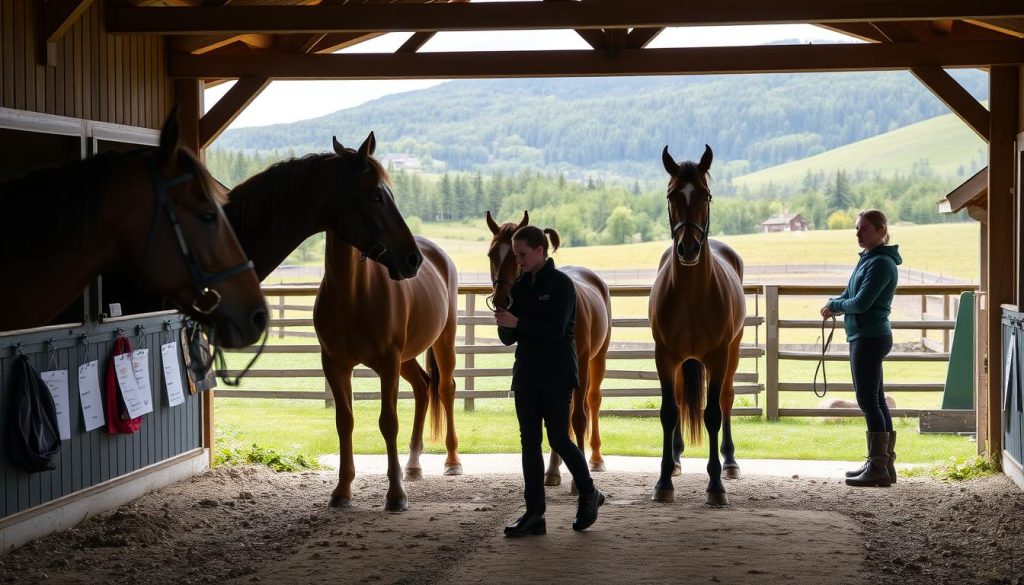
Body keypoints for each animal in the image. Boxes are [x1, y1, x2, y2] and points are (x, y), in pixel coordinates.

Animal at [309, 143, 458, 512]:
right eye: (375, 196)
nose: (412, 260)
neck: (352, 294)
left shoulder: (387, 363)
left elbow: (388, 422)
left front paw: (395, 495)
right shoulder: (335, 364)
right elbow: (344, 421)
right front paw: (342, 490)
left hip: (442, 342)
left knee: (445, 388)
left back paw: (452, 461)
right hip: (406, 358)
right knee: (422, 387)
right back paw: (414, 464)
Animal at [485, 212, 610, 489]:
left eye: (515, 255)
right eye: (491, 254)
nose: (500, 300)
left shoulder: (580, 364)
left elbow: (579, 417)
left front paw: (578, 479)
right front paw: (553, 470)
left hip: (597, 360)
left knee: (592, 402)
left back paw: (595, 459)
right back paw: (555, 467)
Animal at [651, 144, 749, 506]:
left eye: (705, 195)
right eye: (671, 195)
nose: (689, 248)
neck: (691, 297)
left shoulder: (718, 358)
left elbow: (713, 414)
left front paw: (716, 484)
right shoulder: (665, 357)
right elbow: (669, 412)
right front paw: (664, 480)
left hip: (732, 354)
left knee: (727, 400)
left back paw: (730, 462)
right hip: (682, 363)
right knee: (680, 401)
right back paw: (677, 459)